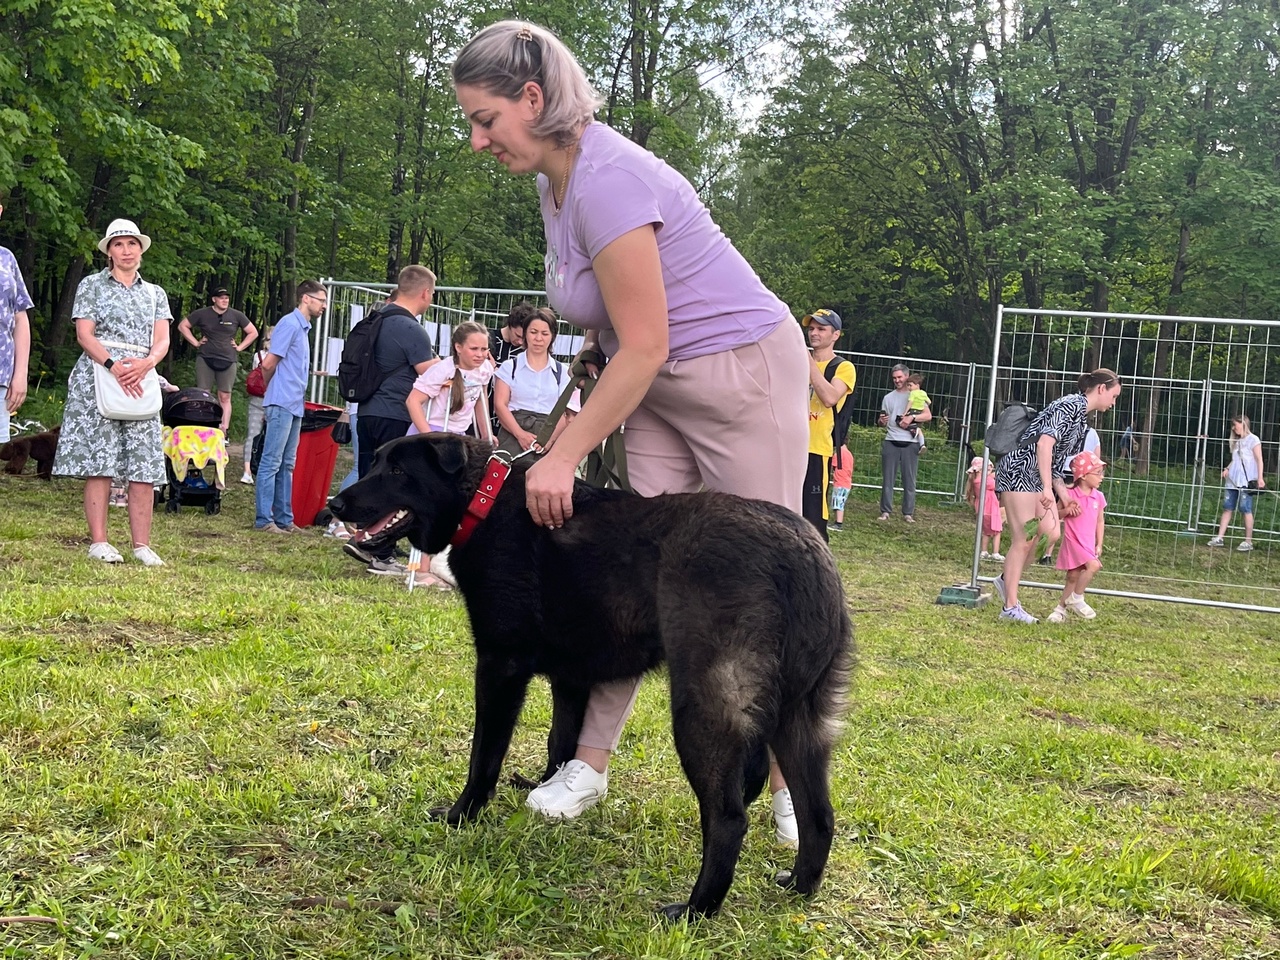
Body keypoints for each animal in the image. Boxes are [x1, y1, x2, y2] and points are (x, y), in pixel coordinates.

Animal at [330, 437, 849, 926]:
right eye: (376, 463)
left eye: (398, 471)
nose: (335, 504)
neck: (483, 495)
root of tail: (805, 555)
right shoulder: (571, 679)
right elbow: (560, 743)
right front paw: (546, 789)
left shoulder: (500, 667)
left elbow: (484, 757)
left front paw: (463, 815)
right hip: (797, 721)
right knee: (819, 814)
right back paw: (799, 887)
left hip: (703, 715)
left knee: (728, 818)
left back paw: (696, 910)